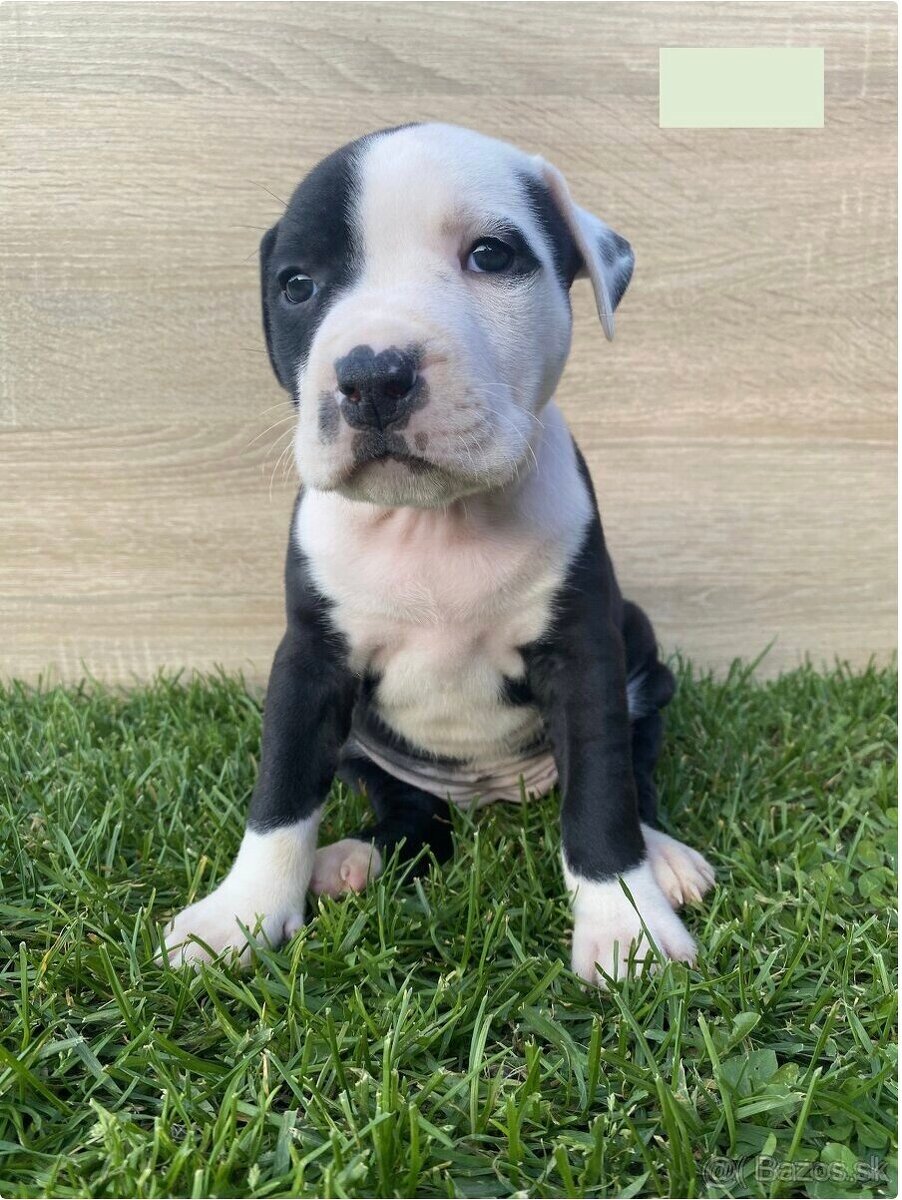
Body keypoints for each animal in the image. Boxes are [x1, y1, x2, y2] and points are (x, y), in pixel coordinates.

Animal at [160, 119, 710, 984]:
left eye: (491, 255)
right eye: (296, 286)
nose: (372, 373)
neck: (436, 524)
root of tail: (491, 793)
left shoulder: (585, 659)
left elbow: (601, 798)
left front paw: (628, 927)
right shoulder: (309, 662)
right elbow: (281, 792)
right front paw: (240, 916)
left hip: (641, 659)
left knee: (635, 770)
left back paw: (665, 859)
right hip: (372, 757)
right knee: (414, 820)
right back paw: (352, 859)